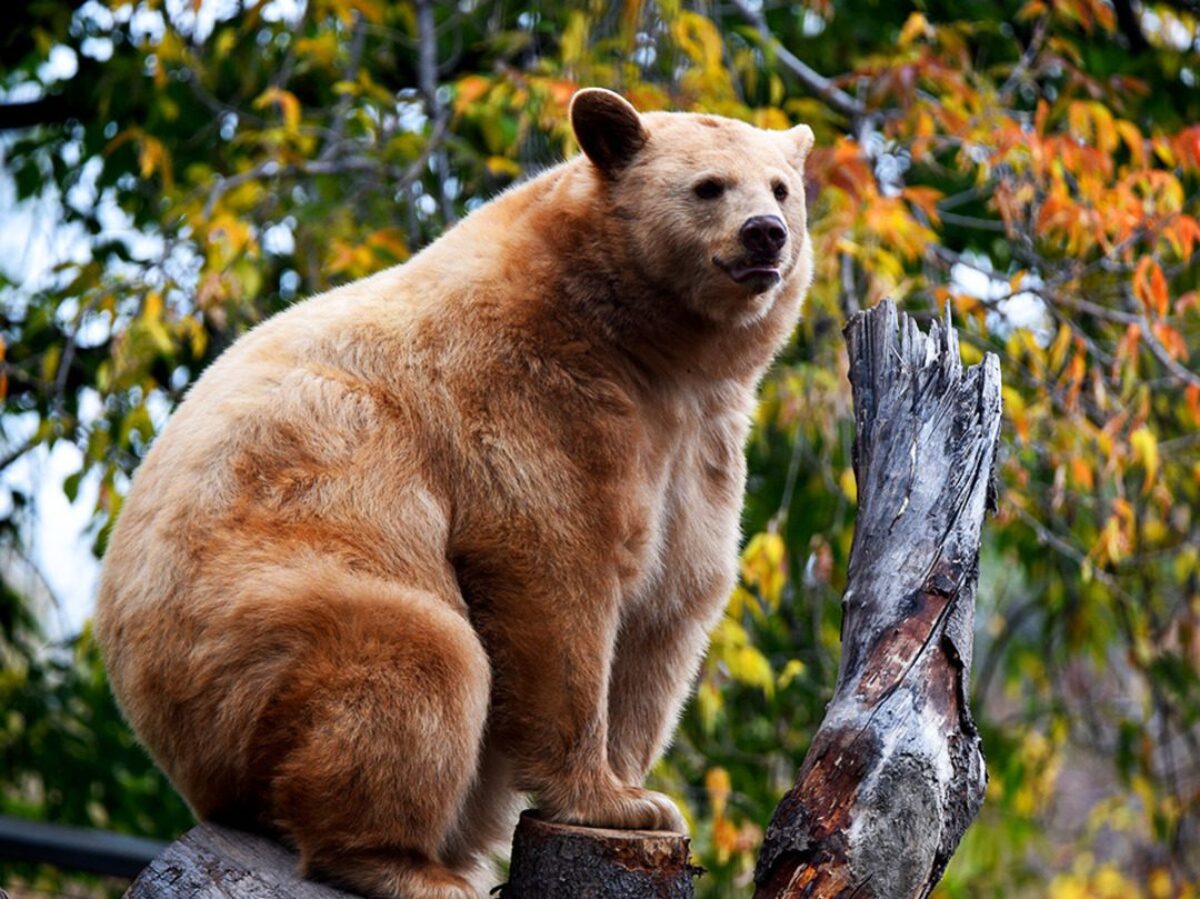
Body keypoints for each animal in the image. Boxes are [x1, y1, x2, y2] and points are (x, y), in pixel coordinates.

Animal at [96, 85, 816, 897]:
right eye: (708, 186)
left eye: (781, 187)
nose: (765, 236)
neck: (640, 342)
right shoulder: (531, 392)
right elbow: (552, 572)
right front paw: (604, 796)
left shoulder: (694, 444)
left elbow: (671, 601)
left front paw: (643, 795)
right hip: (251, 632)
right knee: (420, 660)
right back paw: (408, 864)